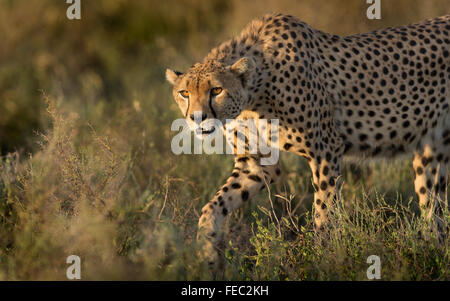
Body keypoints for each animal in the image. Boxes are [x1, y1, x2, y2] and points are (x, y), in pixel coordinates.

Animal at [166, 12, 450, 268]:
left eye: (216, 90)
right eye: (184, 93)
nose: (197, 118)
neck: (256, 91)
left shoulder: (326, 150)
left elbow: (324, 212)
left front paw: (324, 260)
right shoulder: (256, 165)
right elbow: (214, 205)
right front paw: (205, 250)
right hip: (431, 150)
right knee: (432, 207)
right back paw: (431, 250)